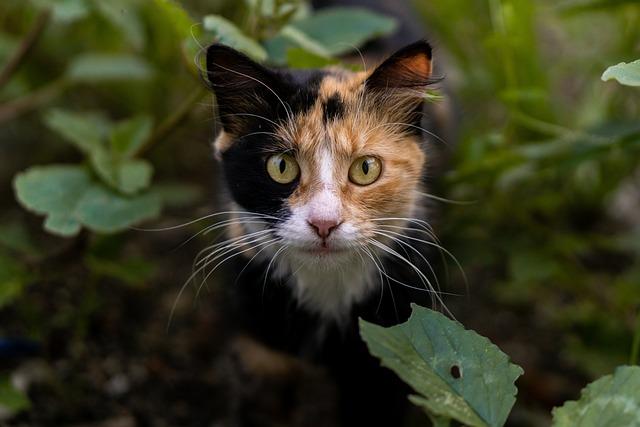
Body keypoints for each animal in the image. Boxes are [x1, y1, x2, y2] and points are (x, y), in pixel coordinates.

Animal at [205, 40, 444, 427]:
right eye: (281, 166)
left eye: (366, 168)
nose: (324, 223)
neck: (325, 287)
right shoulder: (262, 345)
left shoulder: (386, 350)